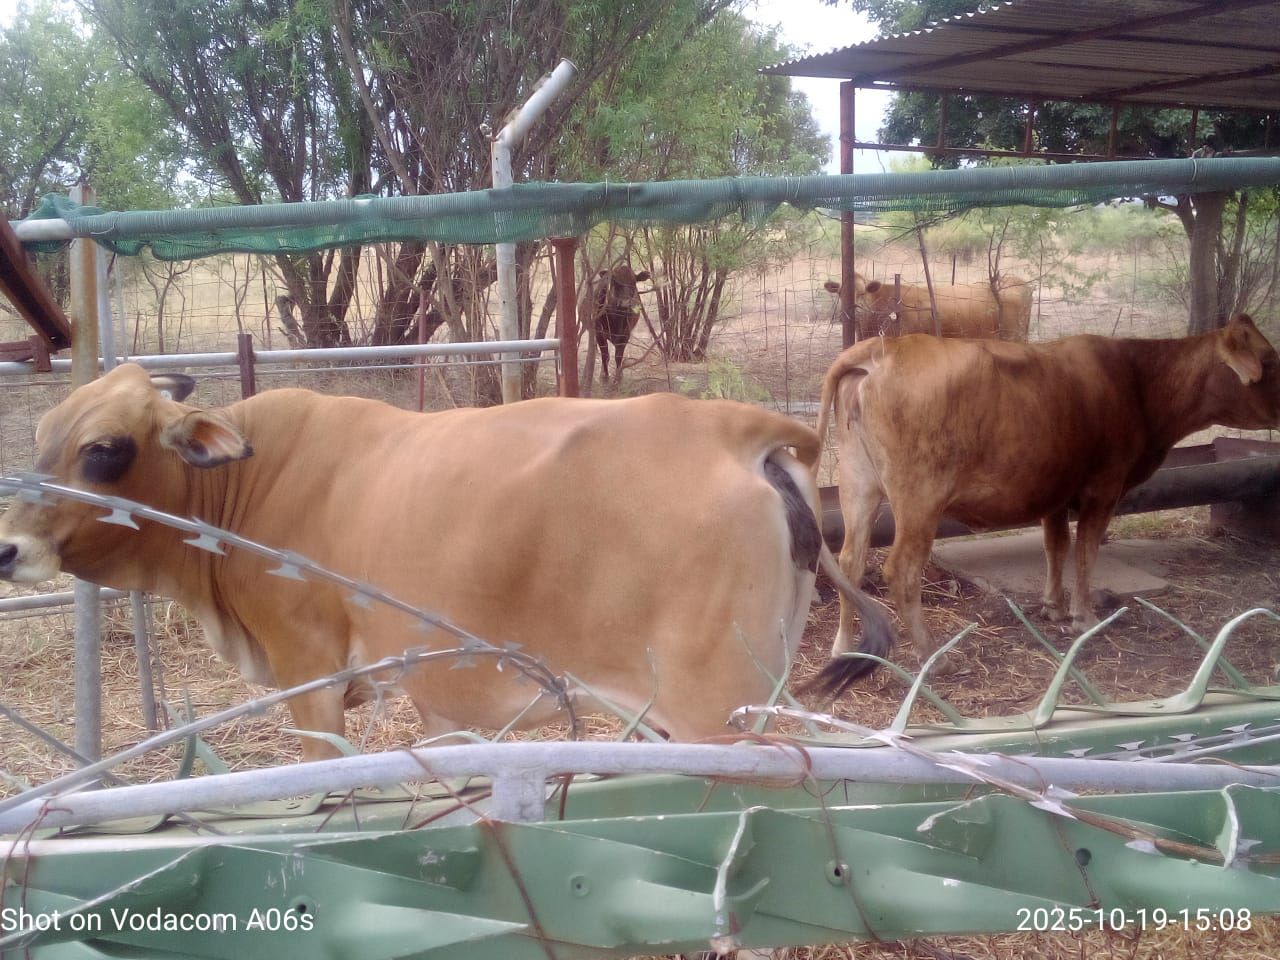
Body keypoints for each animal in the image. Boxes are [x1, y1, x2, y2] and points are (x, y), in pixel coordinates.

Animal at [0, 363, 892, 758]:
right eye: (40, 434)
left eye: (104, 449)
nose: (8, 548)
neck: (245, 483)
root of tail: (739, 428)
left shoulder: (309, 674)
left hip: (716, 715)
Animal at [807, 317, 1280, 697]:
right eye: (1269, 359)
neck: (1135, 381)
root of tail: (882, 349)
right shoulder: (1104, 488)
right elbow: (1086, 551)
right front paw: (1083, 616)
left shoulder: (1054, 491)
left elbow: (1056, 546)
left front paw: (1053, 606)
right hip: (920, 497)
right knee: (900, 570)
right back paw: (933, 657)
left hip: (858, 485)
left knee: (850, 561)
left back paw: (843, 647)